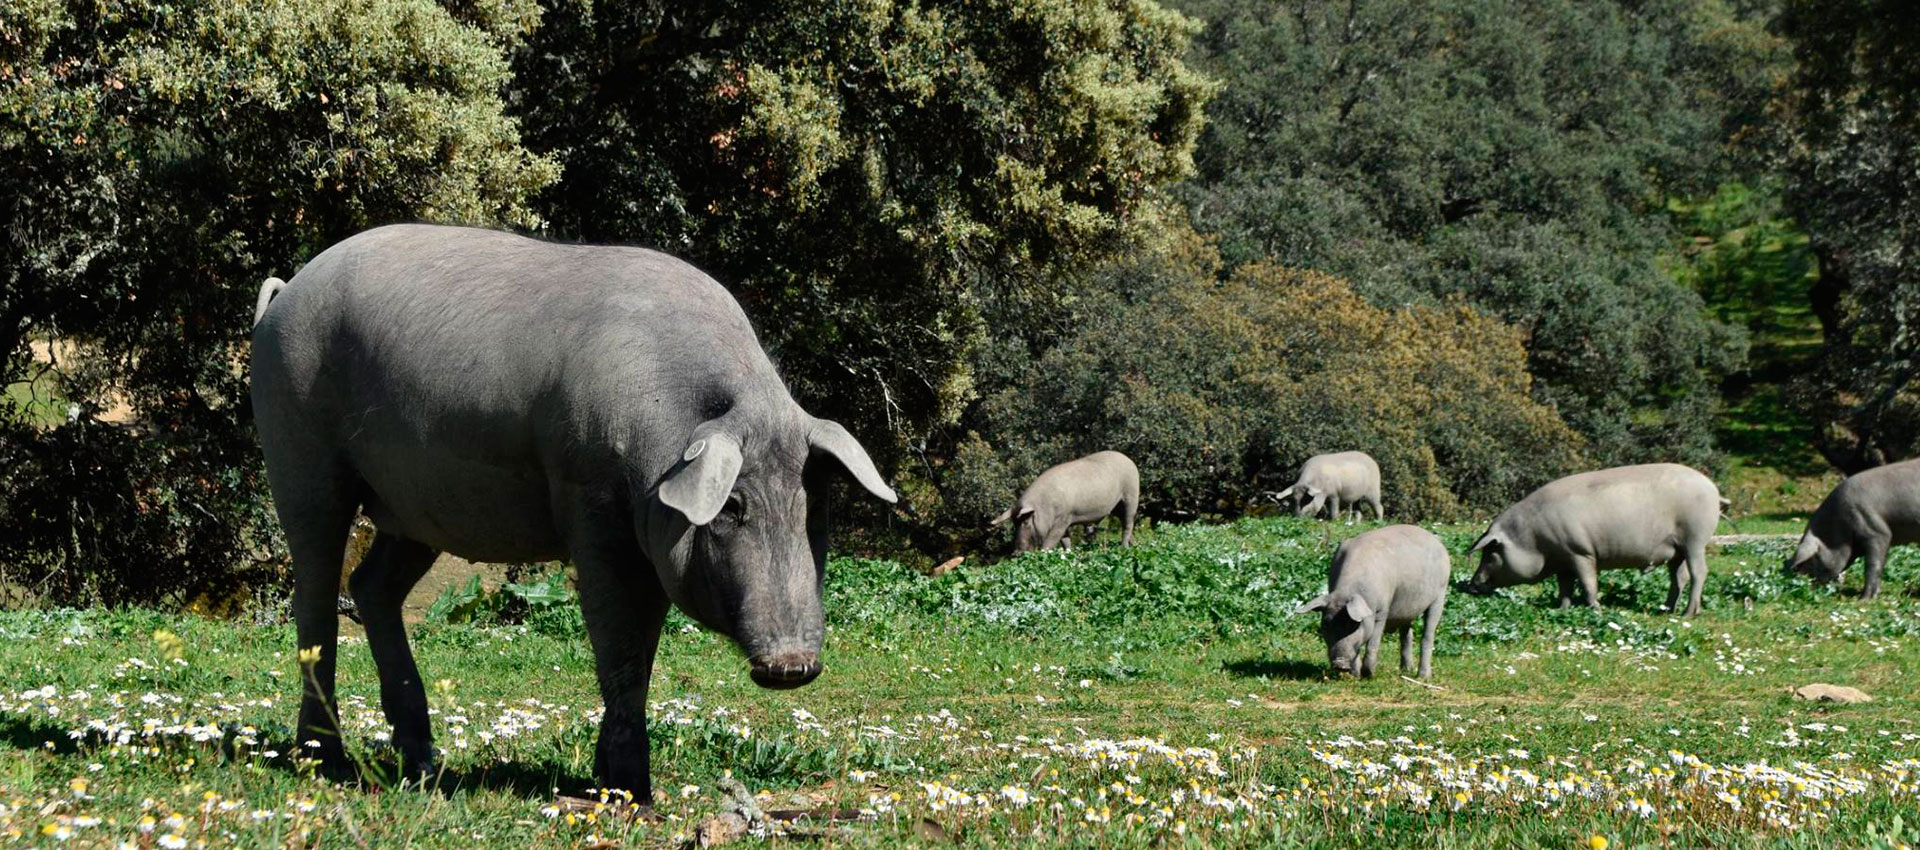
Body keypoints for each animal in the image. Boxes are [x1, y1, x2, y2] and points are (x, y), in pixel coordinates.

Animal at [247, 221, 898, 798]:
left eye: (811, 509)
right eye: (732, 505)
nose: (792, 665)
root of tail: (284, 295)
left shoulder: (650, 542)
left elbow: (643, 650)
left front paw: (610, 782)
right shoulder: (589, 506)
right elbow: (619, 646)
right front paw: (634, 792)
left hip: (415, 508)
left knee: (371, 584)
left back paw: (424, 763)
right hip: (298, 449)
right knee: (316, 589)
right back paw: (326, 760)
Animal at [990, 452, 1136, 552]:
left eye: (1026, 522)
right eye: (1014, 524)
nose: (1016, 553)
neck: (1045, 507)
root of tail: (1128, 459)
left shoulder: (1063, 518)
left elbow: (1051, 541)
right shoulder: (1064, 522)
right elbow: (1065, 541)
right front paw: (1067, 554)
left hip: (1130, 495)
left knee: (1128, 523)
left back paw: (1124, 547)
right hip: (1116, 508)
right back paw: (1133, 544)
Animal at [1297, 525, 1443, 679]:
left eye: (1353, 625)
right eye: (1326, 624)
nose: (1339, 664)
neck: (1348, 590)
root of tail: (1437, 540)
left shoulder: (1382, 610)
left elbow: (1373, 643)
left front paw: (1369, 675)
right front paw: (1355, 676)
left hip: (1440, 594)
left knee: (1428, 634)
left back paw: (1423, 677)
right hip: (1408, 609)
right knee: (1407, 634)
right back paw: (1406, 671)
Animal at [1466, 462, 1728, 613]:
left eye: (1491, 553)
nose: (1470, 585)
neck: (1533, 539)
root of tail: (1713, 489)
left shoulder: (1580, 552)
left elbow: (1588, 583)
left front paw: (1595, 610)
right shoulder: (1564, 559)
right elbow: (1565, 587)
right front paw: (1562, 610)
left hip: (1695, 538)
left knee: (1699, 572)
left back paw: (1688, 613)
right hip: (1677, 550)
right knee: (1679, 577)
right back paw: (1666, 610)